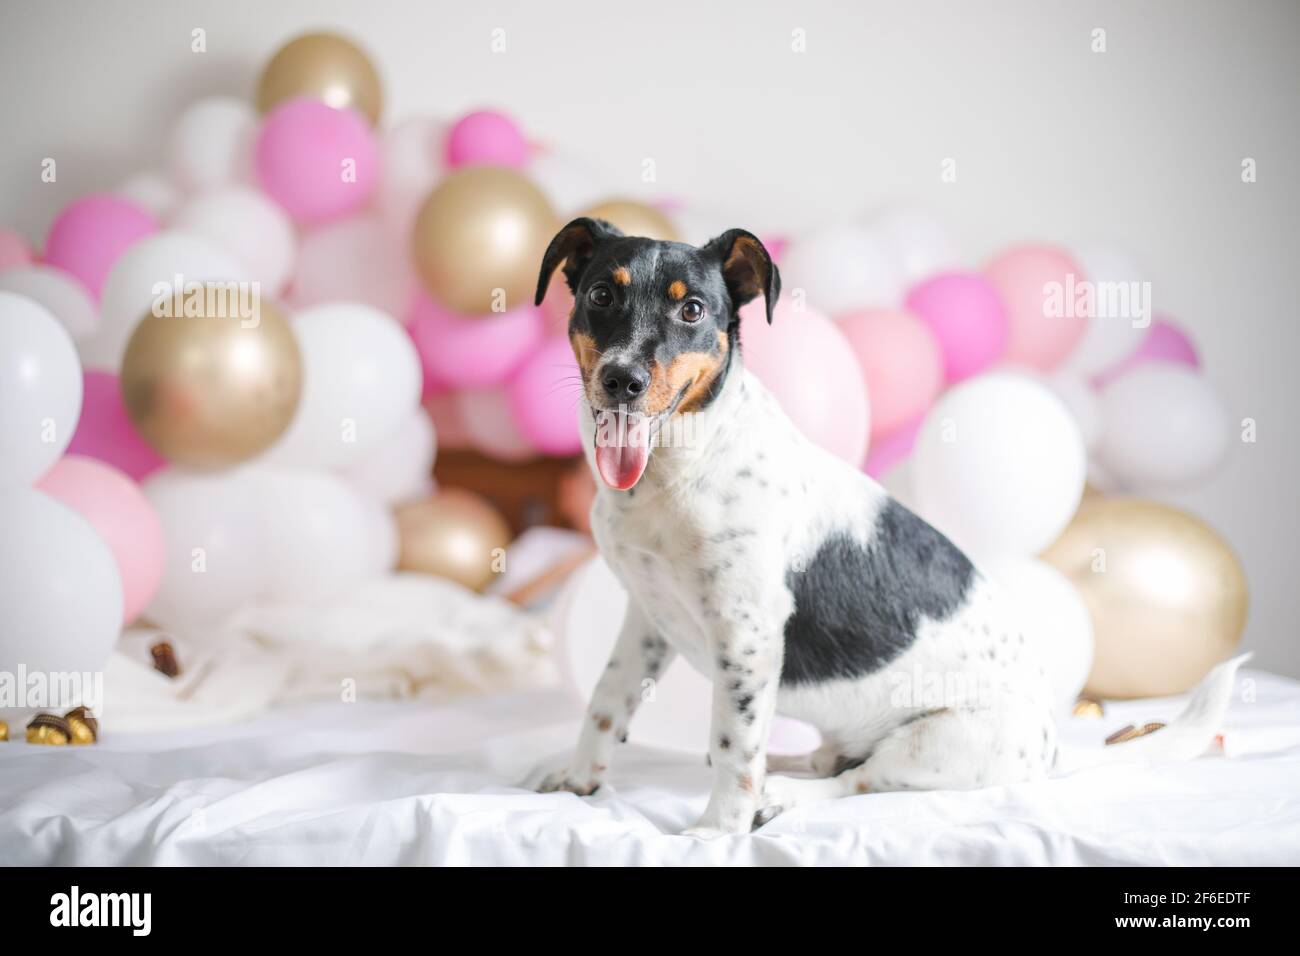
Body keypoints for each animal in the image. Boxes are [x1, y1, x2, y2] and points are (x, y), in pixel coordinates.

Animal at [533, 218, 1242, 837]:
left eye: (693, 312)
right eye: (600, 295)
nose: (622, 380)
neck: (678, 467)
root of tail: (1053, 748)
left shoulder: (747, 634)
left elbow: (735, 748)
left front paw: (716, 833)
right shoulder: (646, 616)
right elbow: (607, 700)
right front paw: (579, 778)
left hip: (939, 740)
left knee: (858, 780)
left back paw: (780, 793)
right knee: (832, 761)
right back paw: (789, 764)